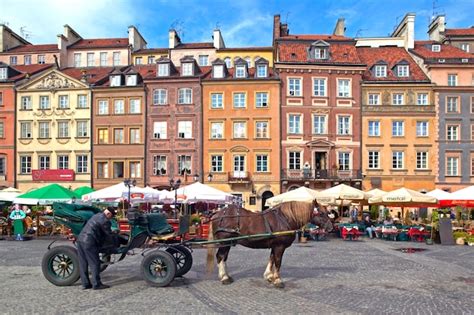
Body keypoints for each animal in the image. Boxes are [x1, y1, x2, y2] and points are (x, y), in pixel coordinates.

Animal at [206, 202, 334, 288]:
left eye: (328, 212)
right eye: (321, 213)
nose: (330, 228)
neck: (285, 218)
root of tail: (217, 214)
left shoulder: (275, 246)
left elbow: (271, 259)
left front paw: (269, 276)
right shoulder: (279, 246)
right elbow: (277, 262)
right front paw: (277, 280)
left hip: (229, 243)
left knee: (223, 258)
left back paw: (227, 276)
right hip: (224, 243)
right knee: (220, 257)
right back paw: (224, 277)